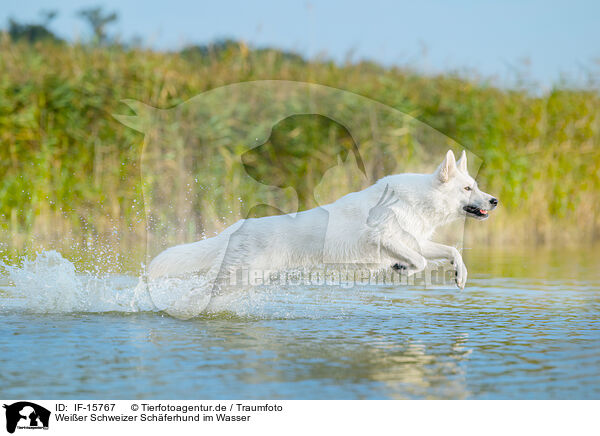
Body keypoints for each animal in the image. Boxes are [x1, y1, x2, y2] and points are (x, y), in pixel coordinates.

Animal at [149, 150, 496, 290]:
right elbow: (420, 262)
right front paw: (403, 269)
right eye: (467, 188)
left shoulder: (417, 241)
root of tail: (237, 228)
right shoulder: (383, 239)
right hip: (240, 276)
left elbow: (452, 251)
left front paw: (460, 275)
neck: (420, 200)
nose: (495, 201)